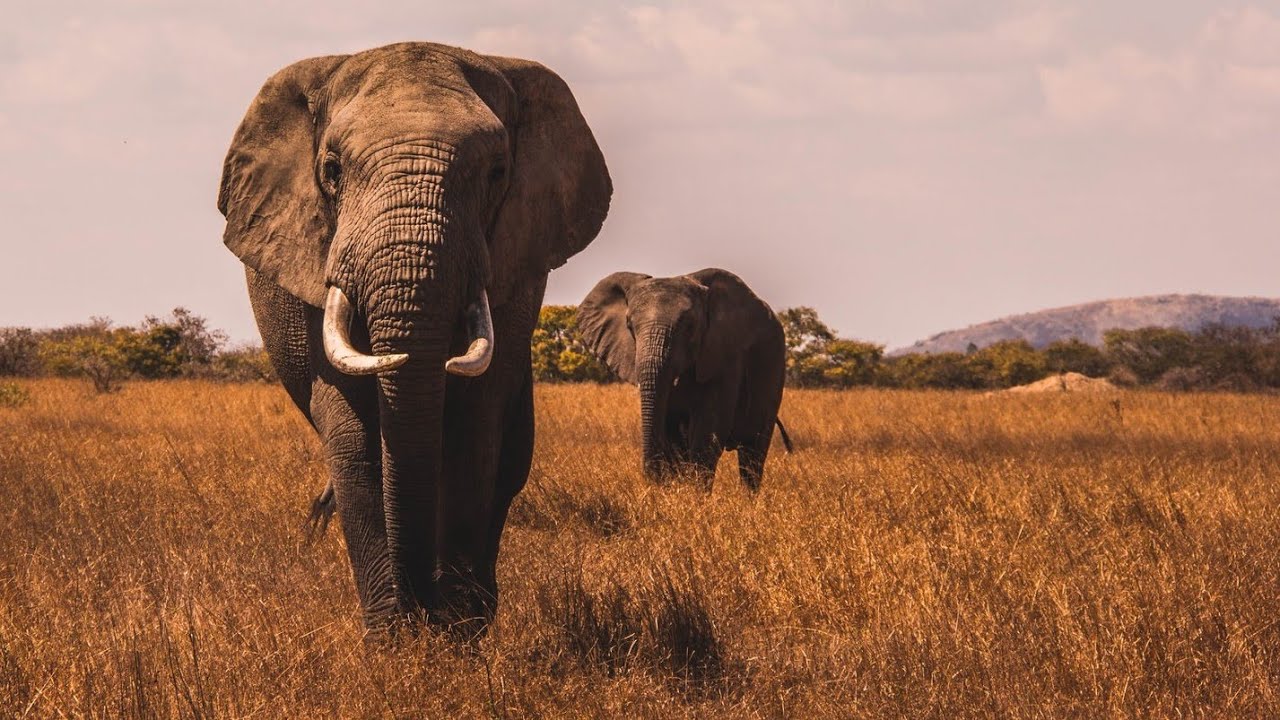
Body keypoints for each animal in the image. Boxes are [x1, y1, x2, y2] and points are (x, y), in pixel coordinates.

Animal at [216, 42, 611, 636]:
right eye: (331, 170)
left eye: (497, 172)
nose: (421, 609)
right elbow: (353, 434)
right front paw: (394, 641)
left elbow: (476, 424)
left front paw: (457, 635)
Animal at [577, 269, 792, 491]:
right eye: (629, 325)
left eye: (690, 326)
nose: (652, 479)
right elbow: (673, 433)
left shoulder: (726, 355)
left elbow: (708, 431)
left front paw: (696, 495)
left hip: (774, 370)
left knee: (753, 454)